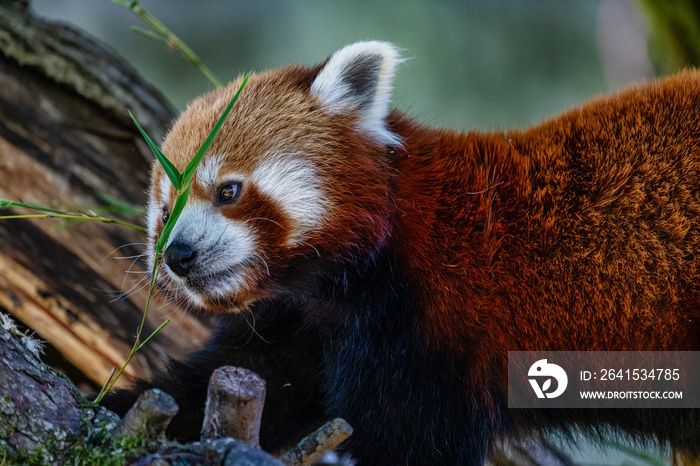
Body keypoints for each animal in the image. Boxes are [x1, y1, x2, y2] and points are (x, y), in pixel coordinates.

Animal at [104, 41, 700, 464]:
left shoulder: (434, 330)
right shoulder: (307, 327)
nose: (179, 256)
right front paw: (109, 414)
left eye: (227, 191)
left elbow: (407, 441)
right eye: (164, 212)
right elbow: (239, 380)